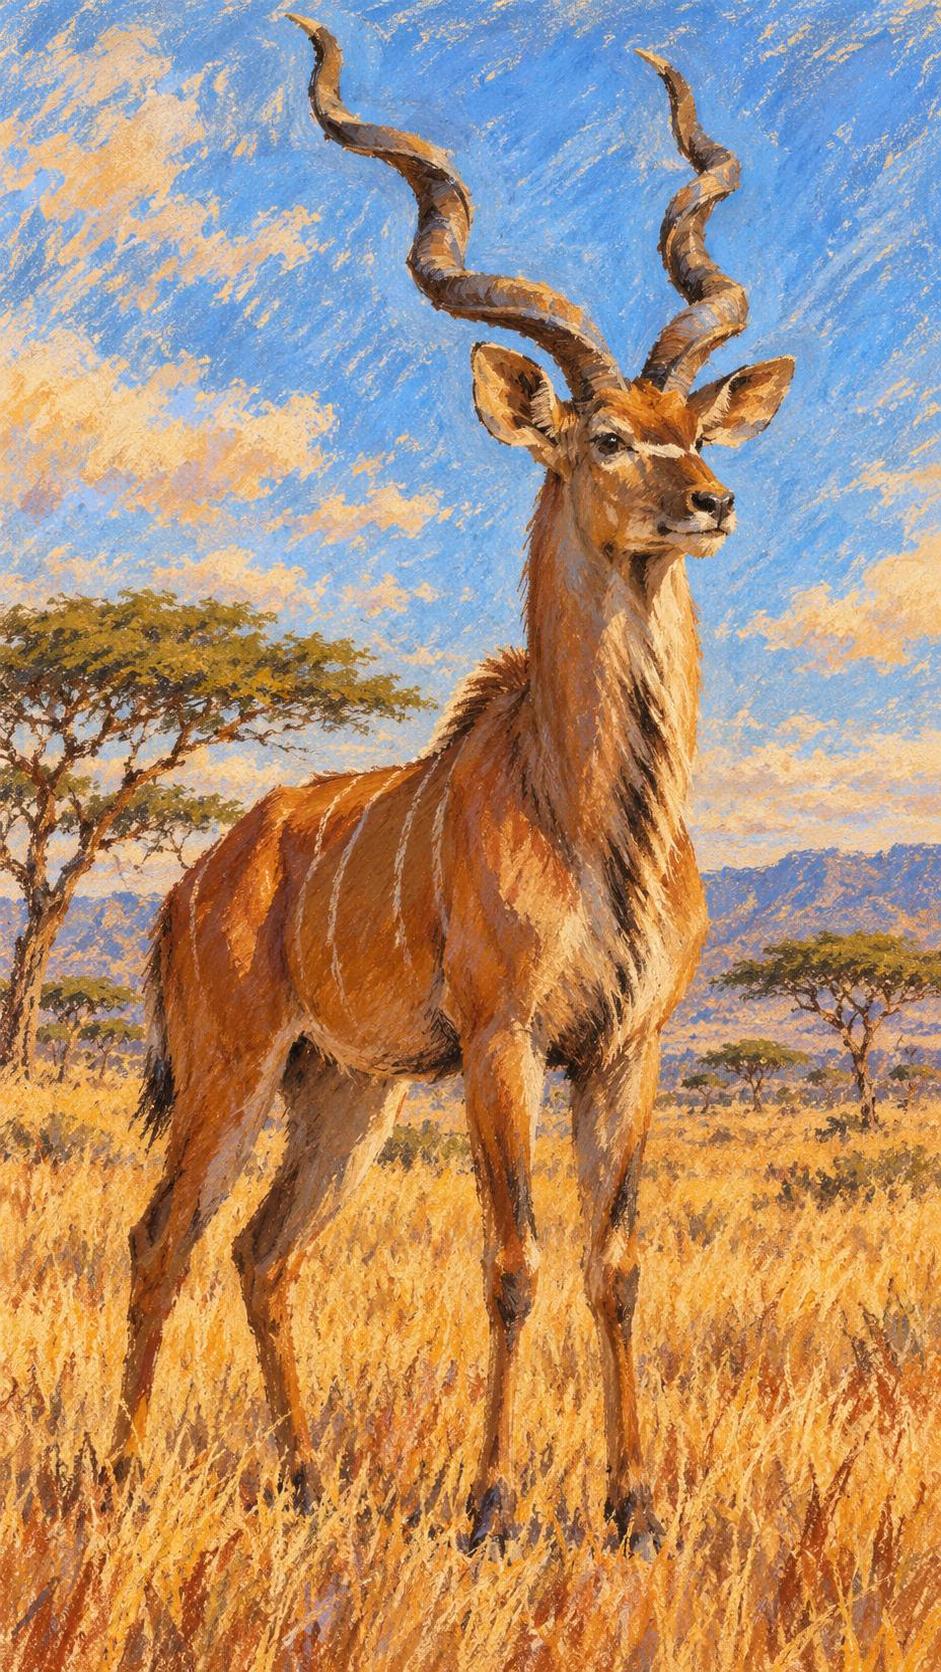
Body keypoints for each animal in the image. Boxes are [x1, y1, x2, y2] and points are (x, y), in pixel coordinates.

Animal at [110, 19, 793, 1556]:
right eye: (604, 438)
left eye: (690, 420)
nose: (712, 501)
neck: (592, 816)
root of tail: (191, 887)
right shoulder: (499, 1039)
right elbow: (513, 1258)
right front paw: (487, 1505)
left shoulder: (623, 1047)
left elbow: (614, 1262)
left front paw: (631, 1508)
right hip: (237, 1071)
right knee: (165, 1236)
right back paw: (116, 1487)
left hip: (341, 1093)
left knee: (263, 1252)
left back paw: (306, 1482)